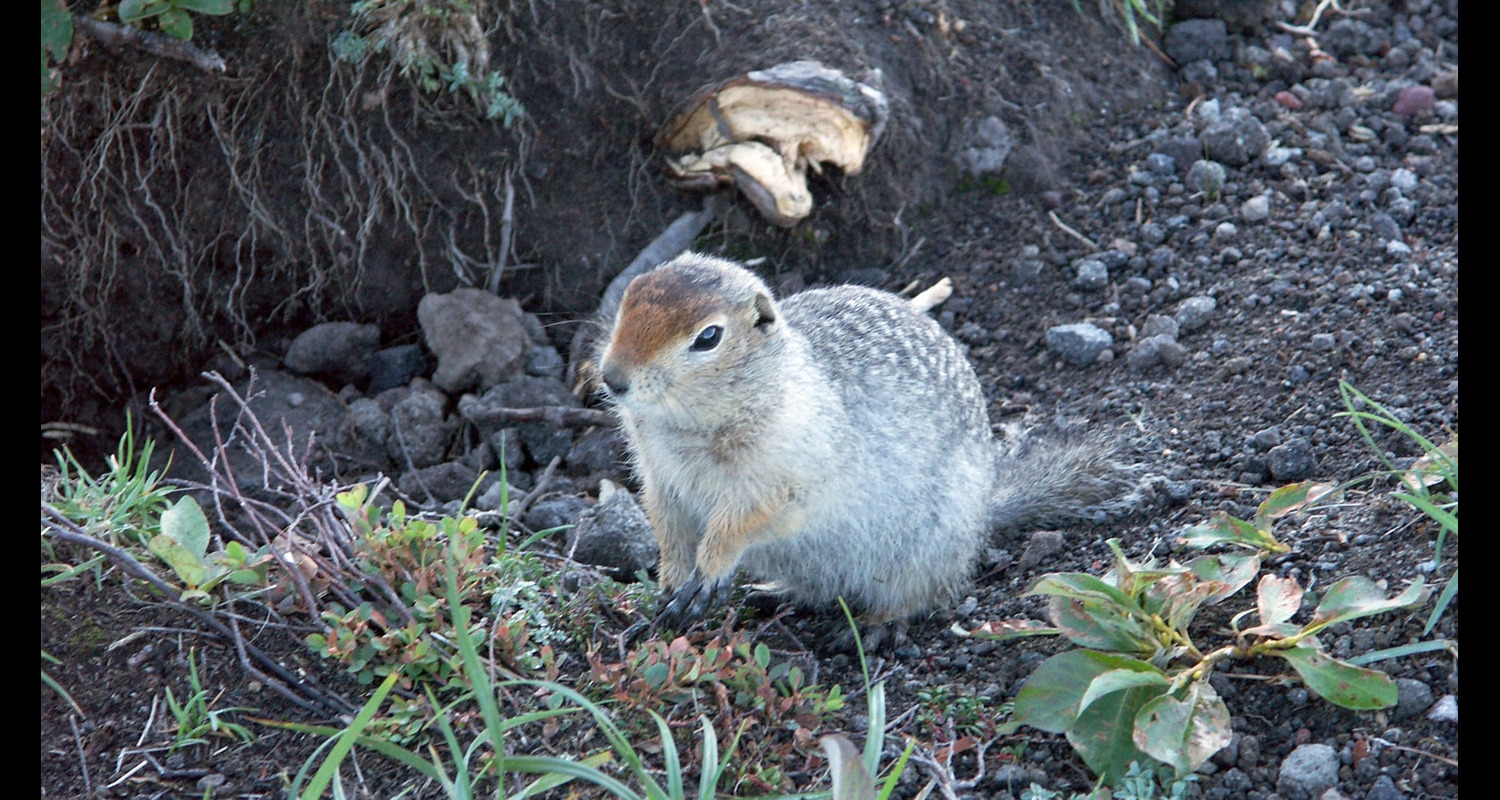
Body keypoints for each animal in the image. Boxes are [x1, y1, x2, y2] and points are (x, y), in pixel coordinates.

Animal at [595, 252, 1129, 646]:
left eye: (708, 336)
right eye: (630, 296)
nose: (612, 377)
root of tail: (985, 513)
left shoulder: (783, 475)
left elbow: (742, 521)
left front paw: (709, 568)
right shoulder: (661, 478)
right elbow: (668, 527)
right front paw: (670, 581)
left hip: (924, 549)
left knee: (915, 596)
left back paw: (877, 628)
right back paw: (773, 593)